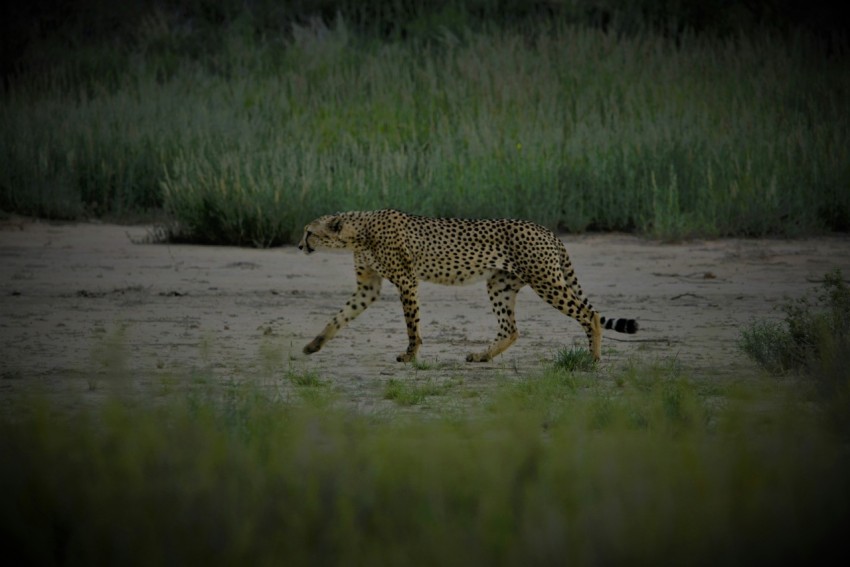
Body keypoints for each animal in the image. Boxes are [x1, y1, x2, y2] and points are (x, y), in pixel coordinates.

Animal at [297, 209, 638, 363]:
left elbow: (412, 324)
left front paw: (410, 354)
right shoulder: (369, 287)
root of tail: (544, 229)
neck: (358, 230)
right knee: (511, 329)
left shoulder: (407, 281)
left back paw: (593, 359)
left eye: (309, 232)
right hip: (500, 285)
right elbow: (340, 316)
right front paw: (314, 344)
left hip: (546, 281)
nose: (300, 246)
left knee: (590, 315)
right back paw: (482, 356)